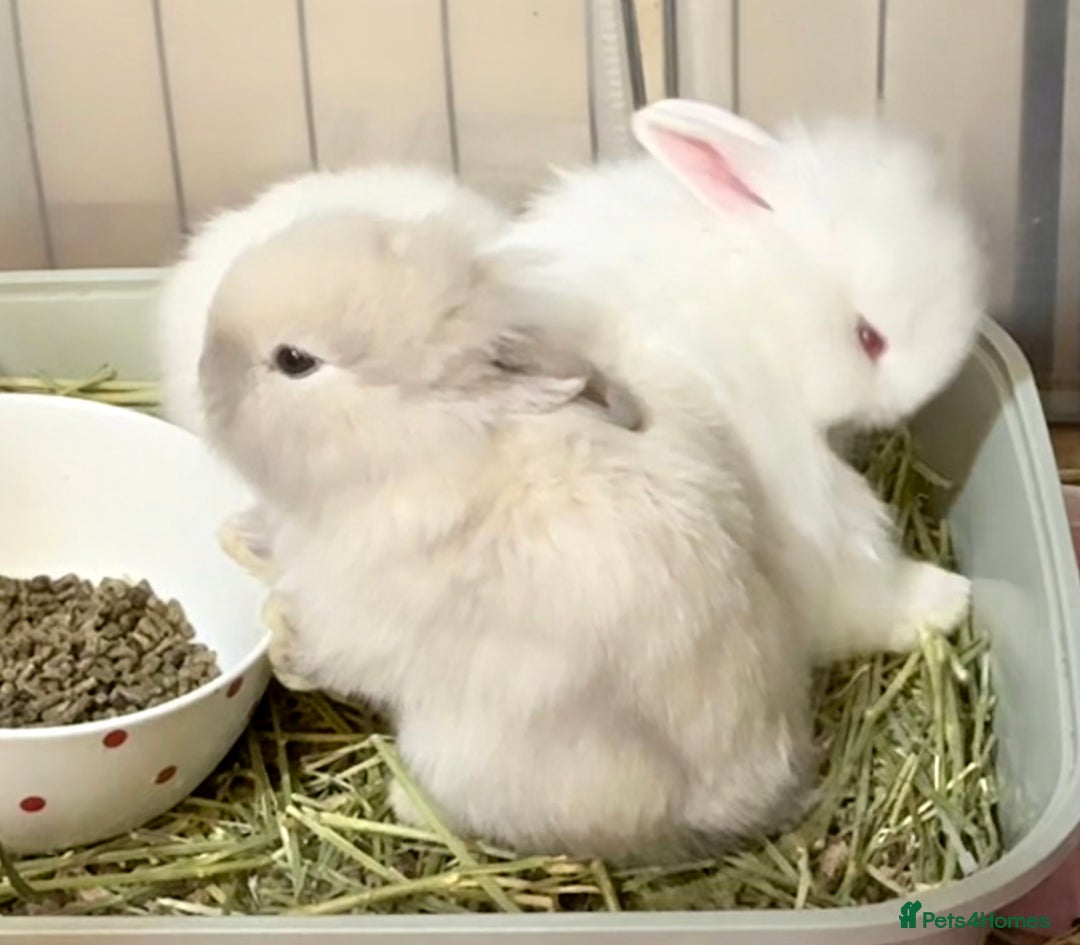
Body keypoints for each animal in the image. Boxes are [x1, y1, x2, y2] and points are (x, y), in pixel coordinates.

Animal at [196, 209, 816, 860]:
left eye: (294, 360)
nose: (204, 369)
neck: (414, 442)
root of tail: (747, 789)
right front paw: (237, 537)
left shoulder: (360, 616)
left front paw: (281, 646)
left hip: (476, 752)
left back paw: (406, 800)